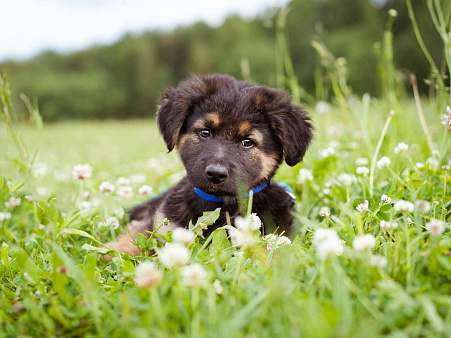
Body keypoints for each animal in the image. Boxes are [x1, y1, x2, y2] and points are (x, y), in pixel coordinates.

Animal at [110, 74, 314, 256]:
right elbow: (130, 242)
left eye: (247, 142)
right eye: (205, 132)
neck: (220, 204)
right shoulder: (163, 225)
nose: (216, 174)